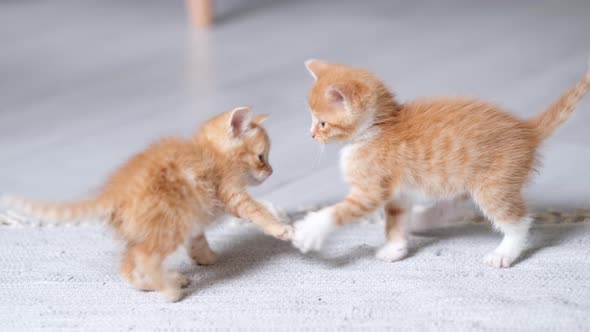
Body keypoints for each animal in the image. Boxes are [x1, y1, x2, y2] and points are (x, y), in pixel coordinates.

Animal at [2, 106, 294, 300]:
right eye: (261, 157)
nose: (271, 171)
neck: (210, 153)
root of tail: (112, 193)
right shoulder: (230, 193)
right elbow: (256, 210)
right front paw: (281, 228)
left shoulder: (195, 217)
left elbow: (197, 241)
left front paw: (207, 258)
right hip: (169, 226)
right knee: (145, 258)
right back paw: (170, 290)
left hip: (148, 229)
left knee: (128, 268)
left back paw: (162, 282)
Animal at [294, 59, 590, 268]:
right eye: (312, 120)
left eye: (322, 123)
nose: (310, 134)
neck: (375, 129)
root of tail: (527, 130)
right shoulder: (397, 191)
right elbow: (396, 219)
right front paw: (395, 247)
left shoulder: (372, 188)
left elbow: (341, 211)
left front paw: (311, 229)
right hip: (463, 179)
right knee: (452, 206)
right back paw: (420, 220)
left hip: (493, 185)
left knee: (519, 220)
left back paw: (505, 252)